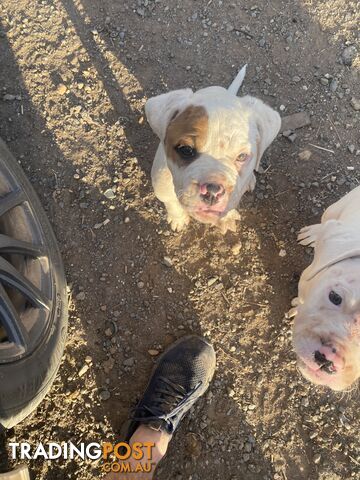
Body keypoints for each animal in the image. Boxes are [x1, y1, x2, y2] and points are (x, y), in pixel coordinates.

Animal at [145, 66, 280, 233]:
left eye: (242, 156)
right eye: (186, 150)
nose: (213, 191)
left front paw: (226, 219)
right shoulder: (162, 186)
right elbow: (171, 202)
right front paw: (178, 218)